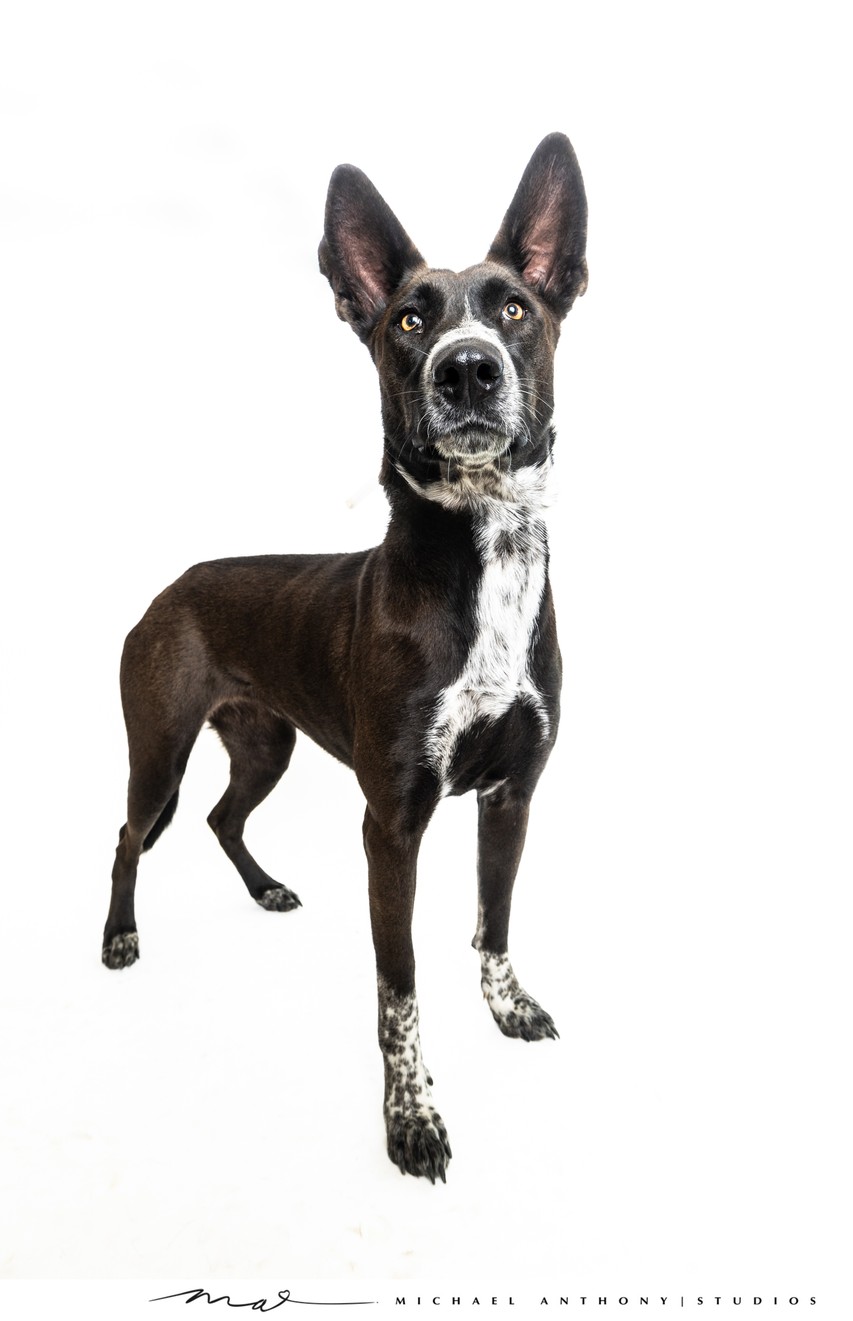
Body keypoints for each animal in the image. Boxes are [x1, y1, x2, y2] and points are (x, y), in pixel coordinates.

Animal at [104, 131, 588, 1188]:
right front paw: (412, 1121)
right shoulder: (391, 823)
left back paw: (264, 888)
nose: (465, 370)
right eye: (410, 318)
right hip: (158, 748)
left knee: (221, 815)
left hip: (265, 743)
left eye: (514, 308)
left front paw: (507, 1006)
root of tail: (169, 586)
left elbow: (493, 922)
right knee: (130, 834)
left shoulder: (512, 795)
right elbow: (396, 990)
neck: (480, 551)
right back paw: (118, 936)